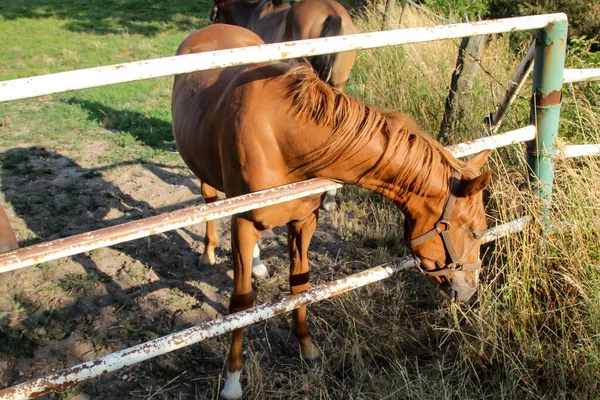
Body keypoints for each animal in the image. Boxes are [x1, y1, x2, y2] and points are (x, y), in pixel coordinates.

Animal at [172, 24, 492, 396]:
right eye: (474, 231)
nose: (470, 290)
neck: (284, 135)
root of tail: (213, 27)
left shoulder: (304, 221)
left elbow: (300, 285)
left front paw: (307, 348)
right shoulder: (244, 223)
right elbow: (242, 304)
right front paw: (233, 382)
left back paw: (258, 263)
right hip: (206, 176)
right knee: (209, 202)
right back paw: (208, 252)